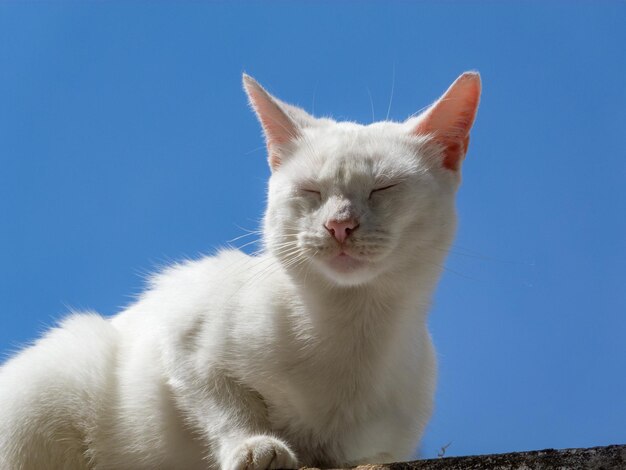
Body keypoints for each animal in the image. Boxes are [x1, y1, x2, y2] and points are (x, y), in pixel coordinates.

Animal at [0, 71, 480, 468]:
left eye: (384, 188)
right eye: (311, 190)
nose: (339, 225)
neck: (350, 326)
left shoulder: (388, 441)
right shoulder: (184, 329)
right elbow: (224, 405)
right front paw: (254, 446)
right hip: (53, 382)